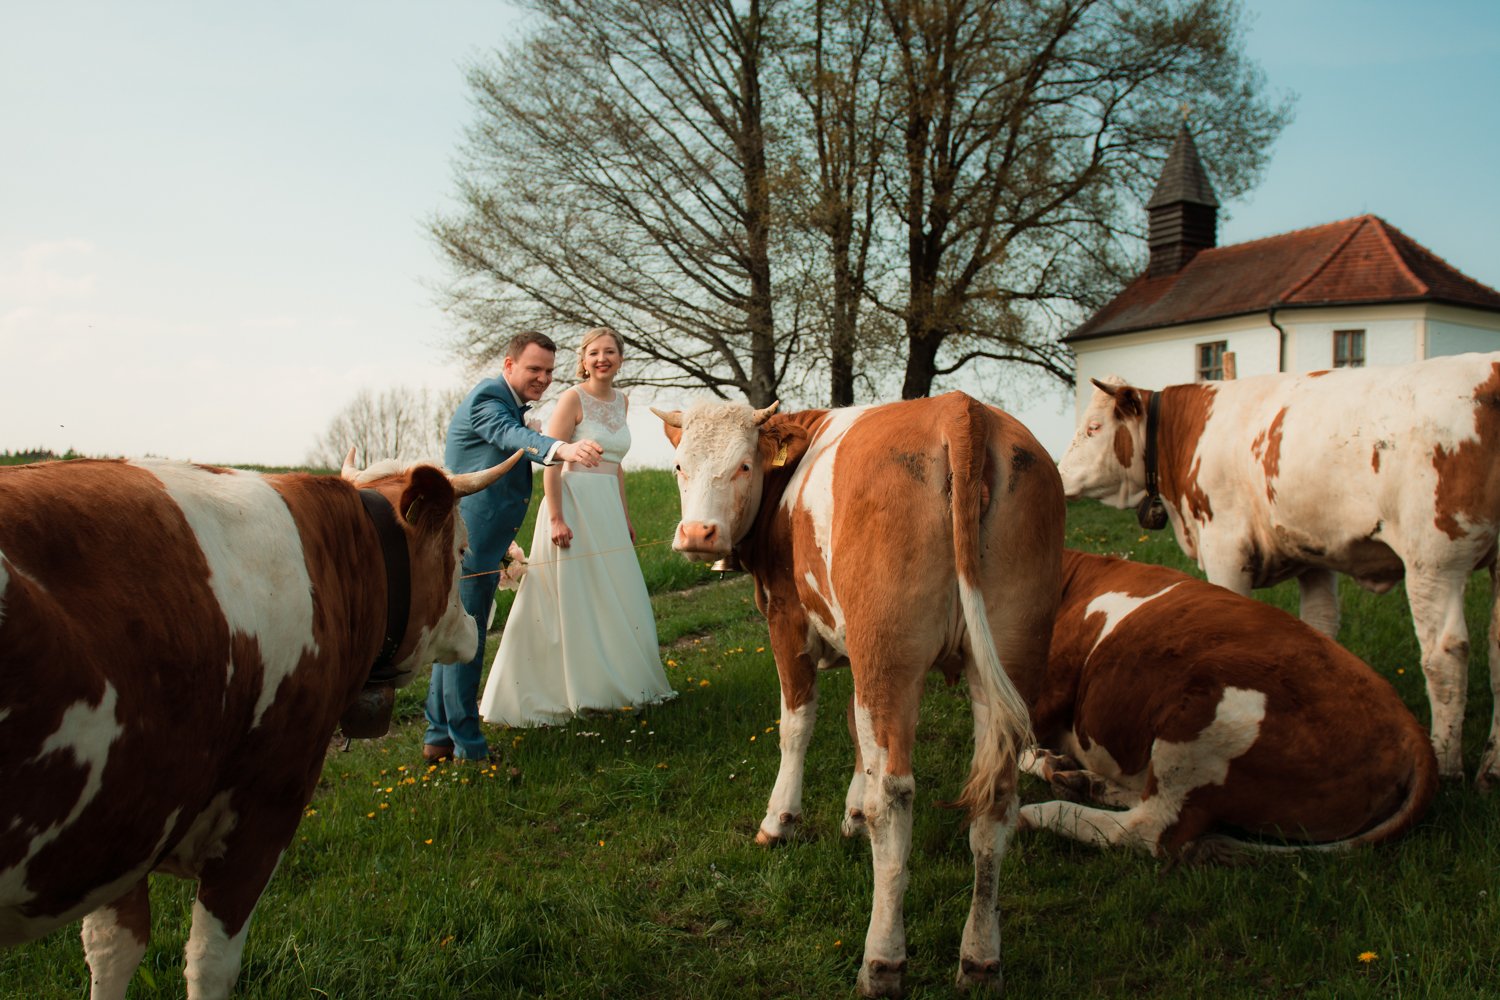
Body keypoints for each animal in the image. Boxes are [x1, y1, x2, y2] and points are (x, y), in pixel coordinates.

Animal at [1, 452, 516, 1000]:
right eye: (461, 549)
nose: (475, 626)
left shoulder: (125, 826)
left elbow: (112, 951)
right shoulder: (263, 808)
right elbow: (210, 964)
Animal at [651, 395, 1062, 995]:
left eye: (744, 466)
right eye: (680, 466)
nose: (698, 534)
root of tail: (960, 408)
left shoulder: (789, 619)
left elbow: (797, 725)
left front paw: (780, 821)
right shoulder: (855, 650)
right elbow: (855, 732)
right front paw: (852, 813)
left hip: (887, 652)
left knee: (895, 797)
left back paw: (882, 959)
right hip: (1004, 655)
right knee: (996, 799)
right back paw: (980, 958)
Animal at [1020, 548, 1440, 863]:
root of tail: (1412, 730)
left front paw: (1045, 762)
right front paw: (1055, 763)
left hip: (1203, 715)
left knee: (1148, 829)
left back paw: (1042, 812)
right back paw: (1087, 783)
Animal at [1062, 353, 1500, 791]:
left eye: (1093, 428)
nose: (1059, 475)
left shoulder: (1225, 544)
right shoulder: (1314, 555)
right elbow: (1320, 626)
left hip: (1435, 558)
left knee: (1444, 654)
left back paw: (1448, 764)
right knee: (1495, 648)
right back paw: (1490, 769)